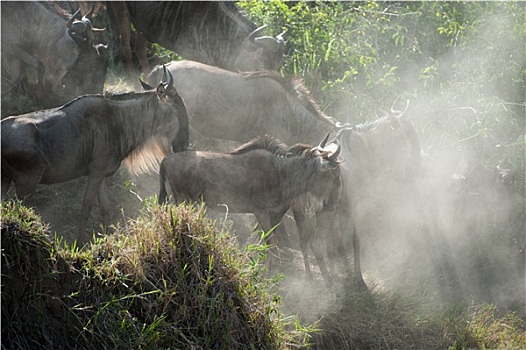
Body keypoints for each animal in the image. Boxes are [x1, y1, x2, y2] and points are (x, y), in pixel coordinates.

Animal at [159, 134, 344, 274]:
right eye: (334, 175)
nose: (333, 205)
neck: (282, 172)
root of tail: (166, 160)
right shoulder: (261, 211)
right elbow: (270, 243)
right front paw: (266, 273)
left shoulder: (270, 214)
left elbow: (263, 242)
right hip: (184, 201)